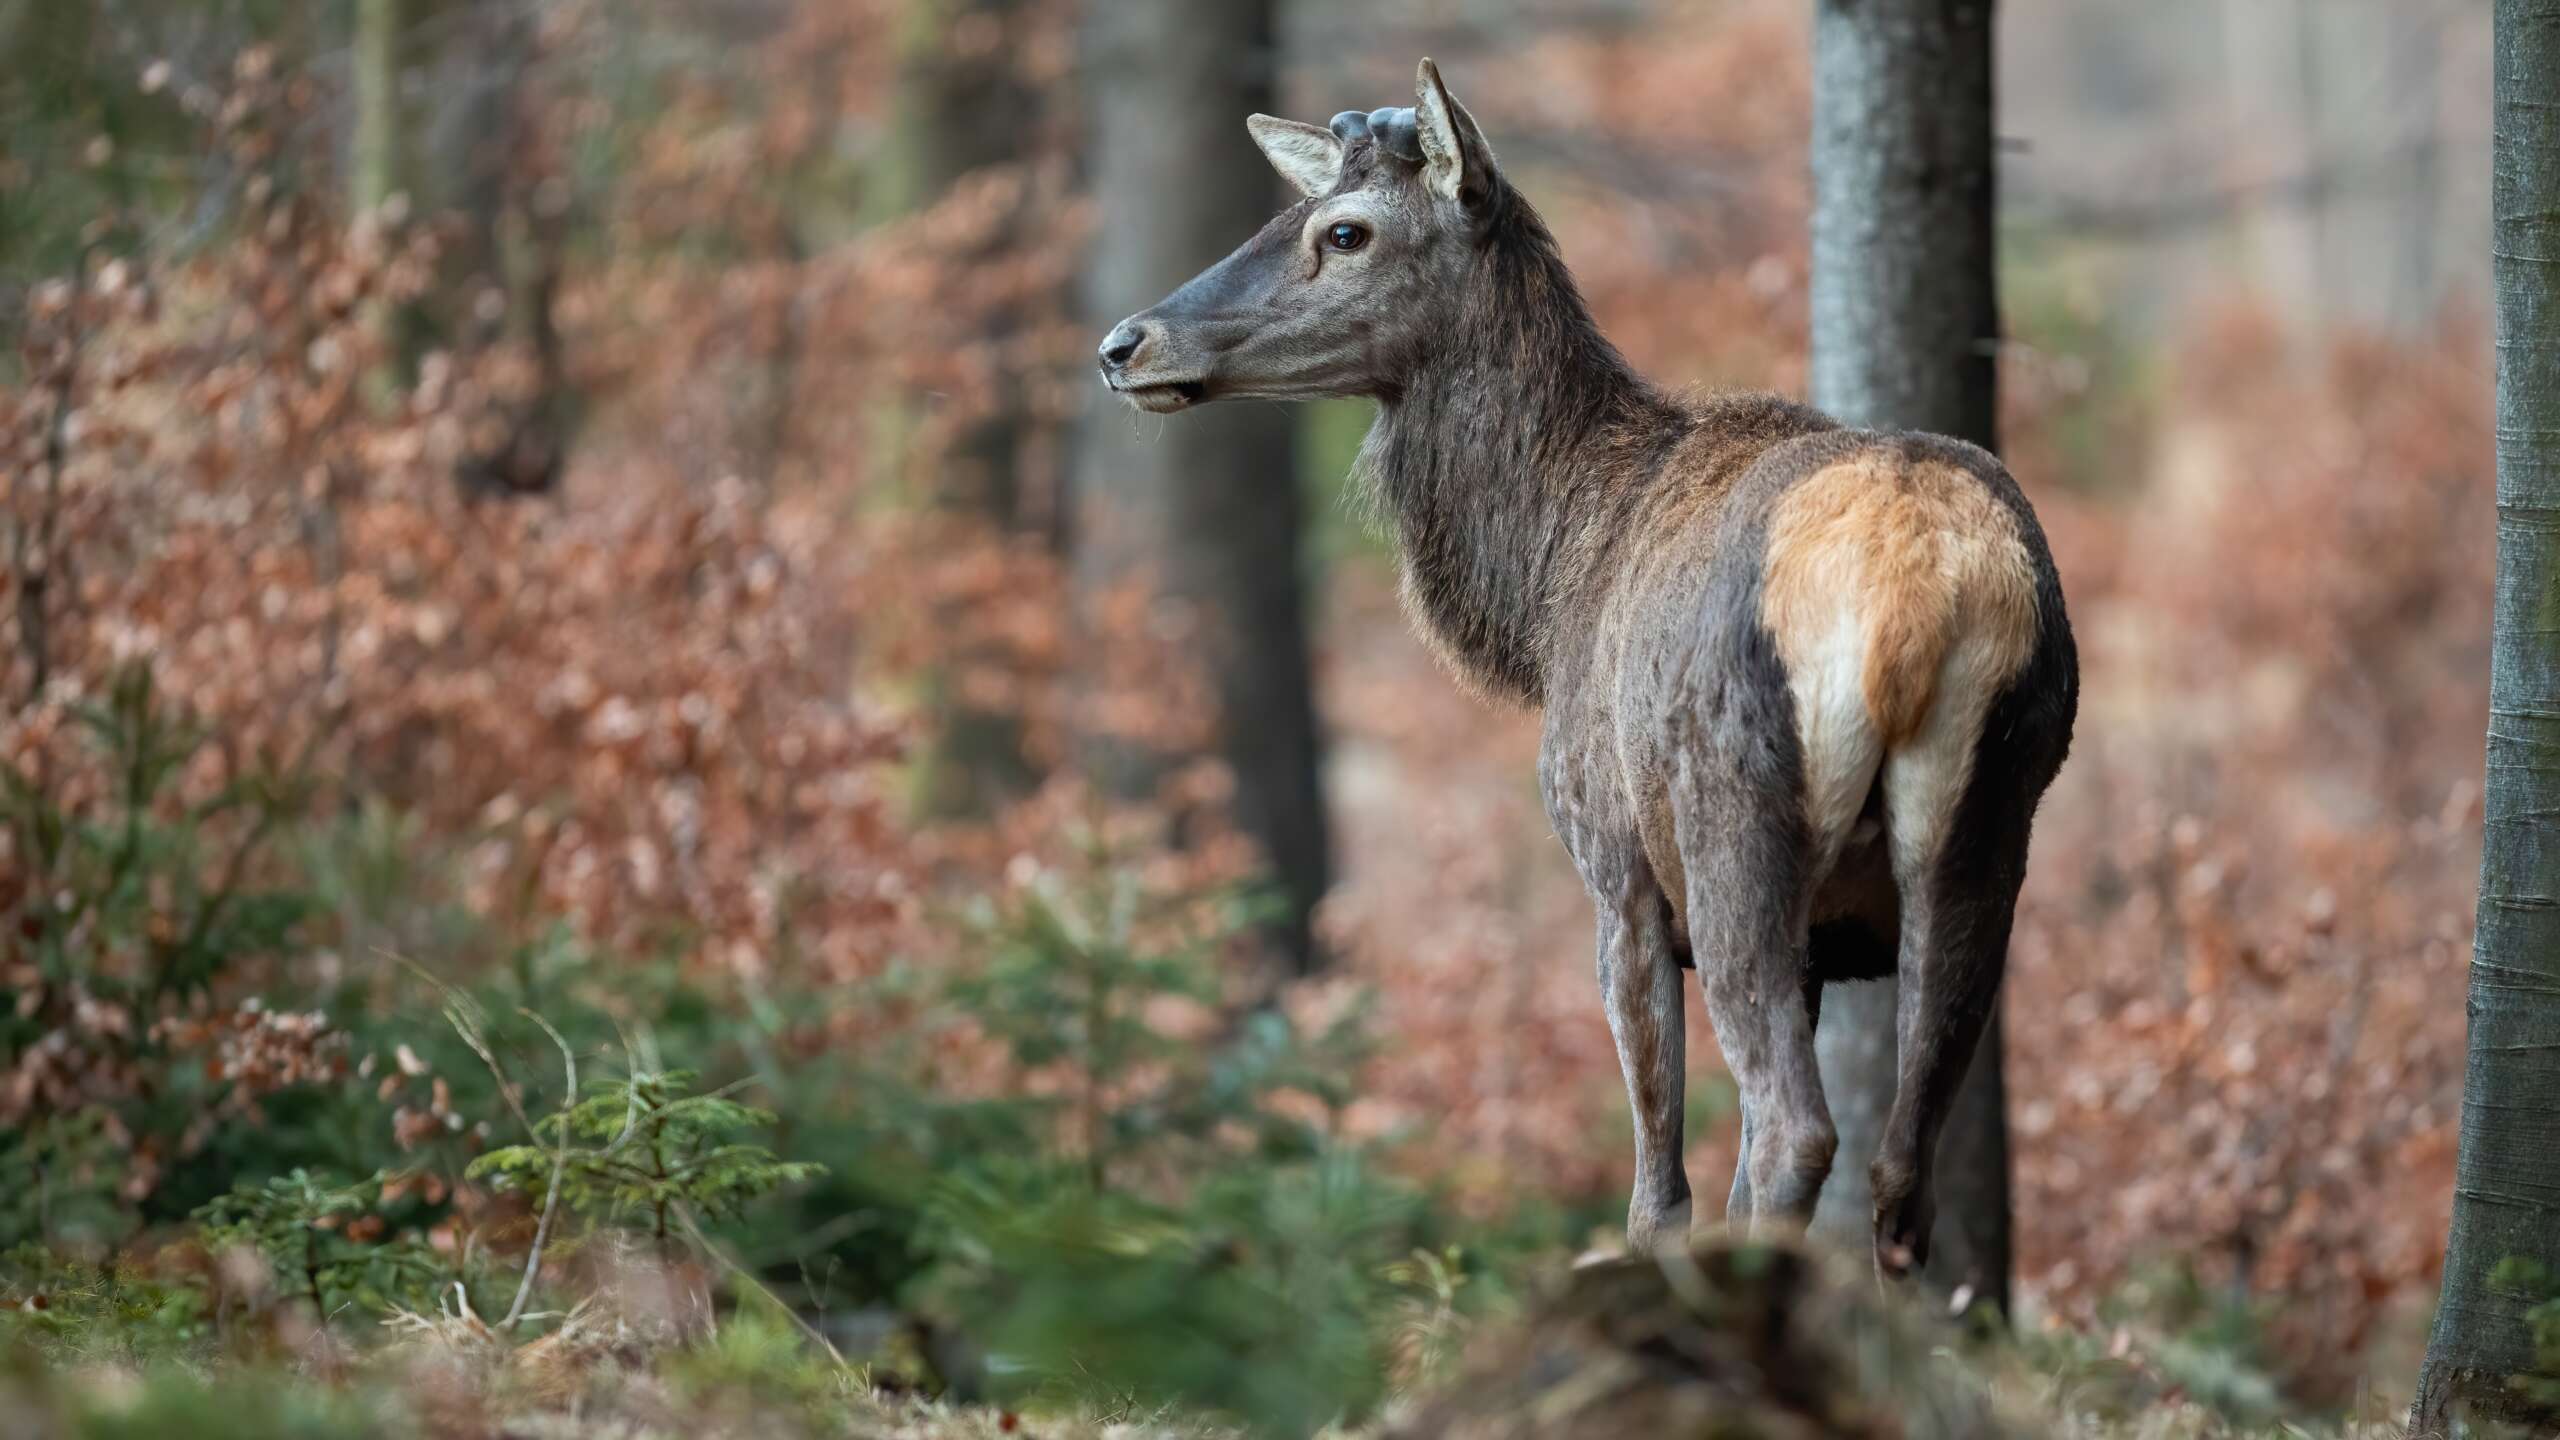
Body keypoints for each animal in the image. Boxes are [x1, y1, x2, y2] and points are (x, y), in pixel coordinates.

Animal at [1085, 56, 2078, 1270]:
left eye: (1345, 230)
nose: (1124, 344)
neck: (1544, 592)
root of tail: (1913, 595)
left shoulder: (1615, 869)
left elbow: (1659, 1192)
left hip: (1731, 823)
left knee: (1794, 1133)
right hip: (1985, 833)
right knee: (1901, 1171)